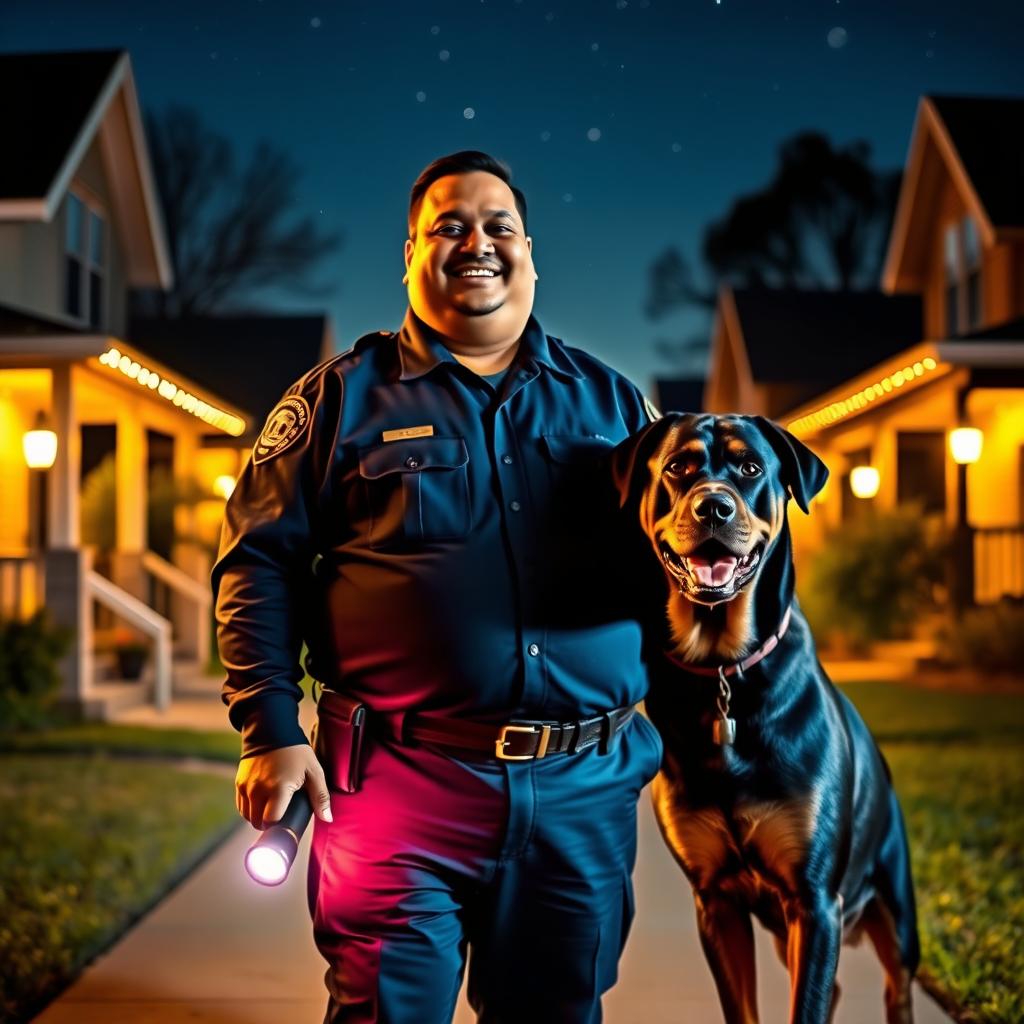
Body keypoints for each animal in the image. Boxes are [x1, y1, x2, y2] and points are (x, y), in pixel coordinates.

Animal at [610, 413, 925, 1024]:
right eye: (679, 466)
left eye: (751, 467)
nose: (713, 507)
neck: (723, 666)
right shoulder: (716, 900)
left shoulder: (815, 900)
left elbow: (809, 1002)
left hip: (896, 913)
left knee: (895, 987)